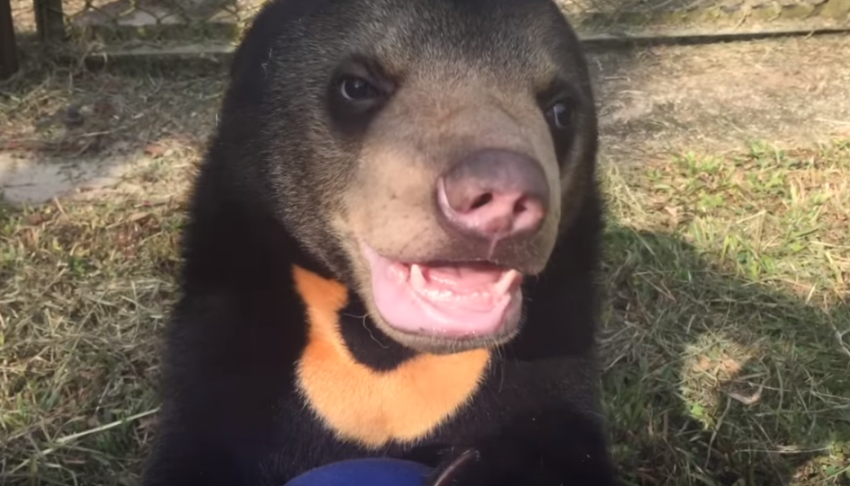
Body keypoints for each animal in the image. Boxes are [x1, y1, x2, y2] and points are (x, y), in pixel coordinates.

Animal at [140, 0, 619, 485]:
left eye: (560, 110)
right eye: (356, 86)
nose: (503, 195)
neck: (382, 350)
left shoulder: (551, 360)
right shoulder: (226, 352)